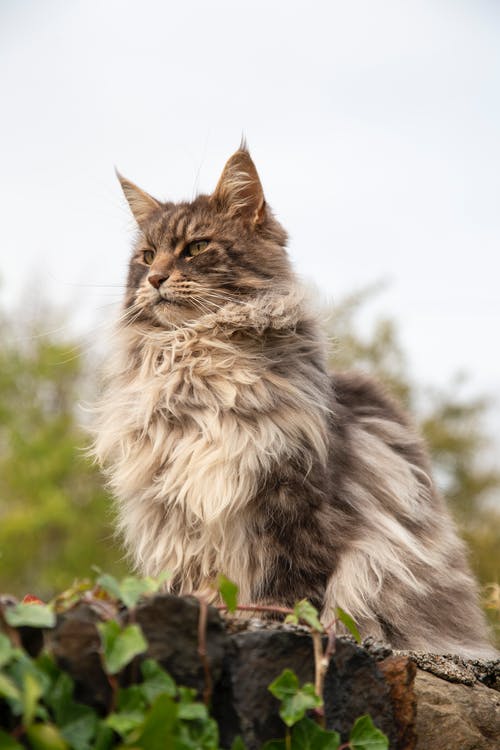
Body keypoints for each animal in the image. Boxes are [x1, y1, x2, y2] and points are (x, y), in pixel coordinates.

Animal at [92, 142, 494, 656]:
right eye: (146, 257)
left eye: (196, 247)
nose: (156, 279)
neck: (197, 362)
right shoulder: (177, 511)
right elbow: (195, 580)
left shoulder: (294, 501)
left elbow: (292, 589)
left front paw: (280, 624)